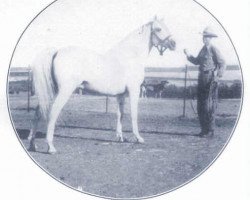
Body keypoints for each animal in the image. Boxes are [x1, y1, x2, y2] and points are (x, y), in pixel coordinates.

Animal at [27, 16, 176, 153]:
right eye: (158, 29)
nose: (174, 44)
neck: (130, 56)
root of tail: (57, 51)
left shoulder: (120, 95)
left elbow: (120, 114)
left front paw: (120, 137)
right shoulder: (134, 91)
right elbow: (134, 114)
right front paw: (138, 138)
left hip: (52, 90)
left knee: (38, 112)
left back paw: (32, 144)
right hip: (64, 91)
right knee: (53, 112)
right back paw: (50, 147)